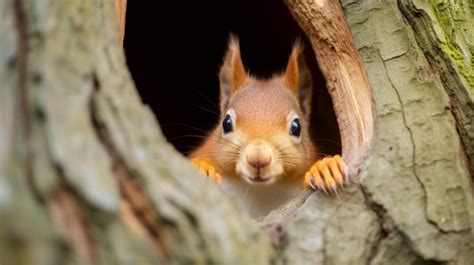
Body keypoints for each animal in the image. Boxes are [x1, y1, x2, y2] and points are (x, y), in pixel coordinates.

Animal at [189, 35, 348, 217]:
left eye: (296, 127)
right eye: (226, 123)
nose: (258, 159)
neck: (259, 191)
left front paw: (325, 168)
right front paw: (201, 168)